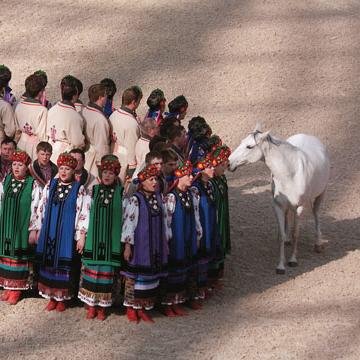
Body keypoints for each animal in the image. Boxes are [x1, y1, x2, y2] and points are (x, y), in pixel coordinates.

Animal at [229, 126, 330, 272]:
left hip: (321, 194)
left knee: (316, 214)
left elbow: (296, 233)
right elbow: (281, 235)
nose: (228, 163)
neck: (291, 173)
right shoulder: (278, 206)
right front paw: (281, 266)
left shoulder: (299, 207)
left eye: (249, 146)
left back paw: (318, 244)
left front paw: (293, 260)